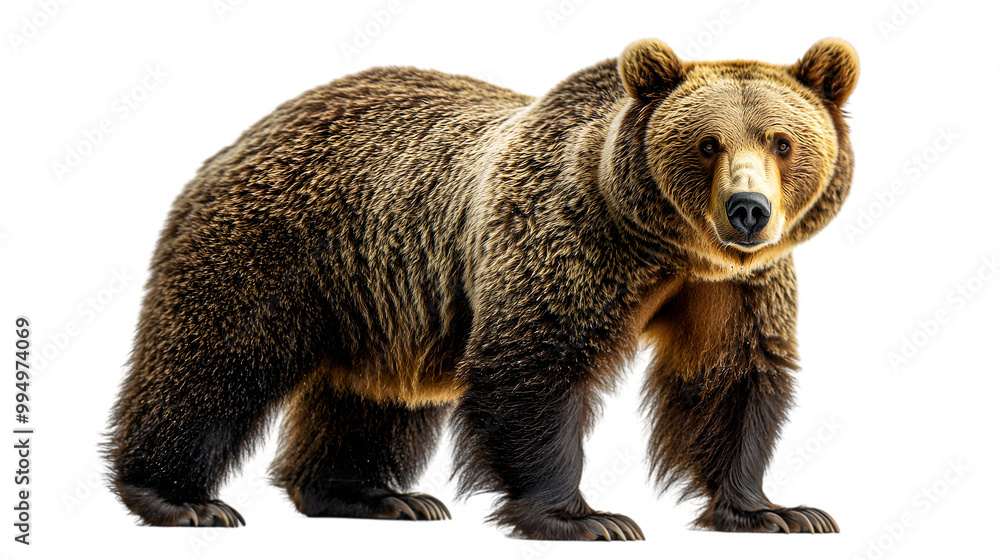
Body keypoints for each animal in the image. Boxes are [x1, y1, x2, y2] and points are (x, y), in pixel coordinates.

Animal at [106, 37, 858, 539]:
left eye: (782, 141)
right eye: (707, 143)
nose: (748, 210)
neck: (664, 246)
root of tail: (240, 138)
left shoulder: (736, 286)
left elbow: (729, 379)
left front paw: (776, 510)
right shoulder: (565, 237)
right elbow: (535, 365)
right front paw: (584, 516)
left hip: (379, 298)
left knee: (376, 398)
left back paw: (377, 495)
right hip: (274, 245)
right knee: (212, 361)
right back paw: (180, 498)